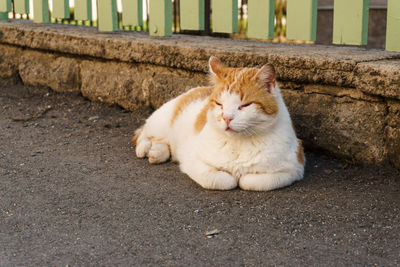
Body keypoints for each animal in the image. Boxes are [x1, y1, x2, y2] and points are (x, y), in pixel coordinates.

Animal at [131, 56, 304, 192]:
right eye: (220, 104)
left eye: (245, 105)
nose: (227, 118)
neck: (239, 143)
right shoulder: (193, 160)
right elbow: (224, 180)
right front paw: (232, 177)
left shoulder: (294, 168)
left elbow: (250, 181)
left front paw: (242, 177)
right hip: (160, 122)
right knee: (144, 133)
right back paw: (146, 149)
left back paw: (157, 152)